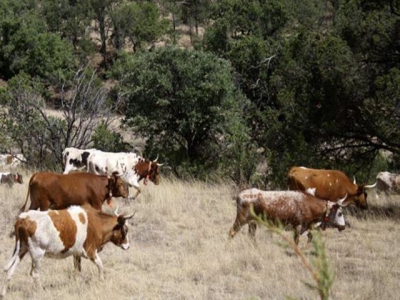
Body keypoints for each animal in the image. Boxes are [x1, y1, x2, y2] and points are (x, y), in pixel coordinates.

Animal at [0, 205, 134, 296]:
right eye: (126, 229)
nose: (128, 246)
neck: (97, 223)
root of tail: (22, 218)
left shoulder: (76, 254)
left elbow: (77, 271)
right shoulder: (90, 252)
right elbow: (101, 266)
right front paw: (101, 281)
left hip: (22, 250)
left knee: (10, 271)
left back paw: (3, 293)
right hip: (37, 254)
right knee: (35, 274)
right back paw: (41, 291)